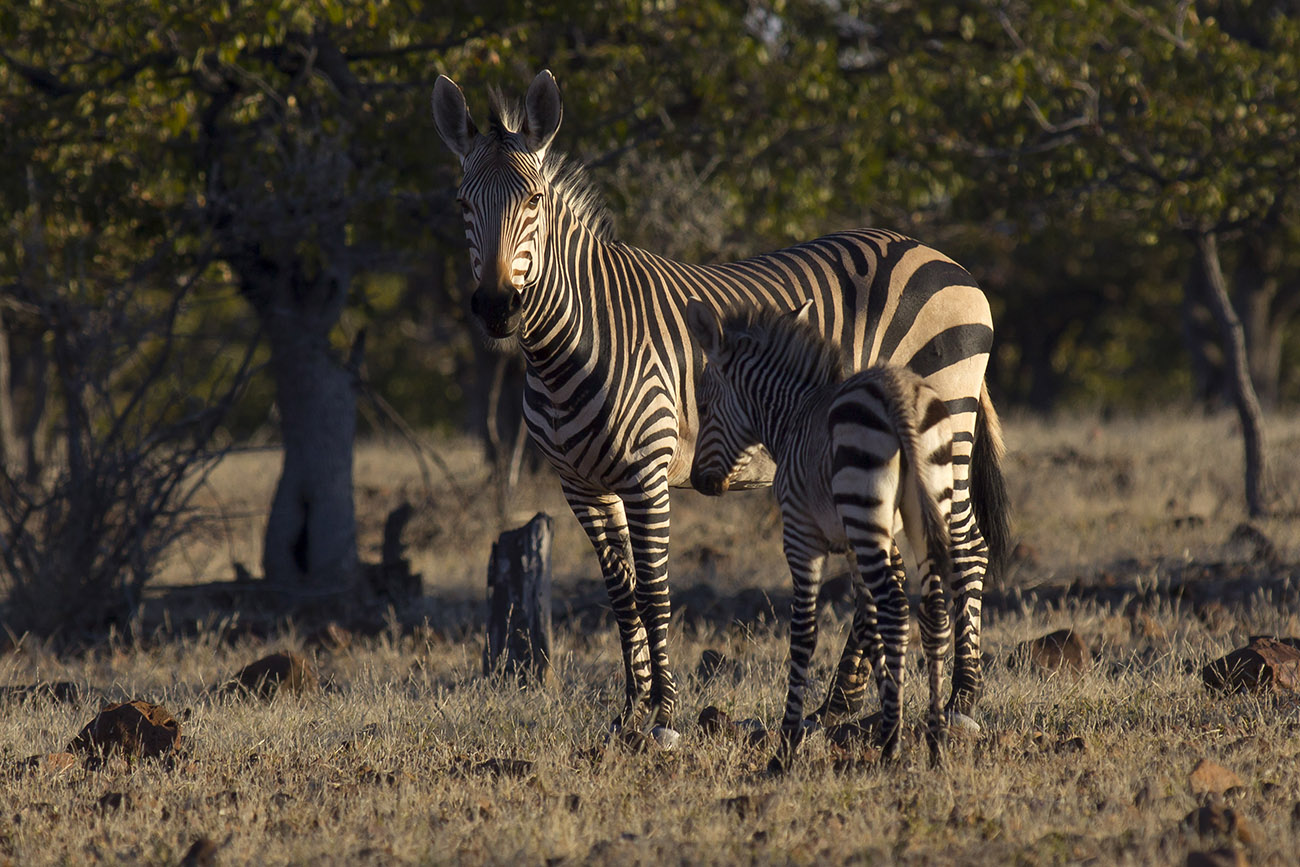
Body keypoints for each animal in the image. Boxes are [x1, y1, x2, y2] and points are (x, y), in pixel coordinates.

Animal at [686, 300, 957, 769]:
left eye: (703, 407)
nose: (700, 482)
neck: (793, 418)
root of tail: (898, 392)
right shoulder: (852, 545)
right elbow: (870, 627)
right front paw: (885, 713)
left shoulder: (801, 536)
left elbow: (804, 634)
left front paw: (786, 746)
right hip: (925, 507)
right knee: (930, 610)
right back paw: (935, 741)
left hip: (864, 506)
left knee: (896, 609)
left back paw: (893, 747)